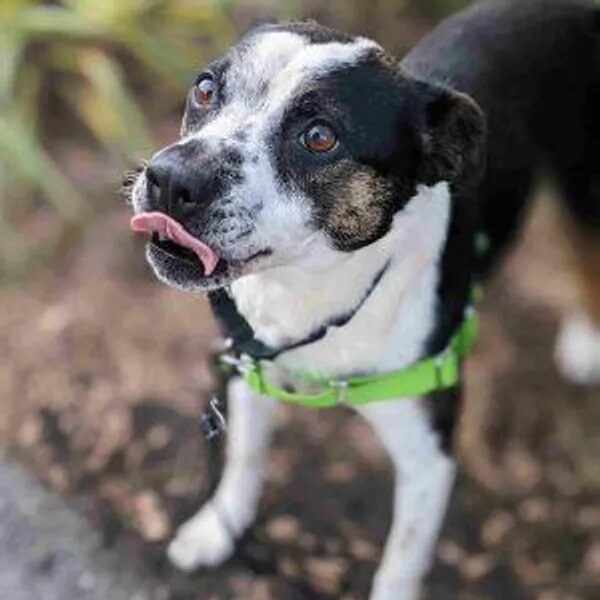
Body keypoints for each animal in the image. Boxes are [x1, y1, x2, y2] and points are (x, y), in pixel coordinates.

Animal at [0, 1, 596, 600]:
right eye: (206, 89)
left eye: (319, 137)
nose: (169, 178)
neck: (309, 294)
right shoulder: (247, 368)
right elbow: (243, 458)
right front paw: (217, 528)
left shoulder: (428, 457)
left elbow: (401, 560)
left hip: (581, 188)